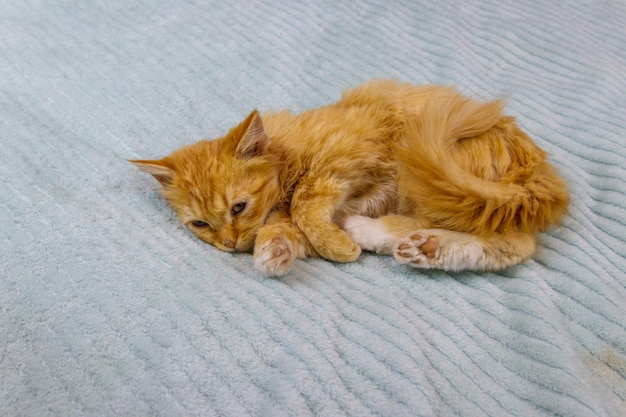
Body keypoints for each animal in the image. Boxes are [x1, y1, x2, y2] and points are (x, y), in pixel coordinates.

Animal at [130, 81, 564, 276]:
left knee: (510, 240)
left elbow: (306, 205)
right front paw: (274, 251)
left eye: (238, 207)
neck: (287, 151)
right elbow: (291, 229)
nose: (229, 244)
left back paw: (368, 233)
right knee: (508, 244)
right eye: (200, 225)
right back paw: (422, 247)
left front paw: (334, 246)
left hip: (430, 177)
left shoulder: (344, 156)